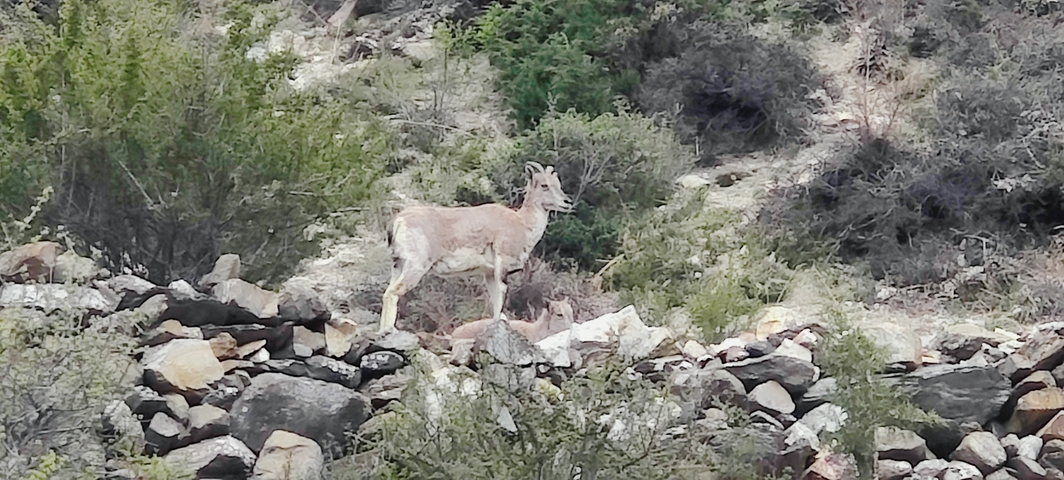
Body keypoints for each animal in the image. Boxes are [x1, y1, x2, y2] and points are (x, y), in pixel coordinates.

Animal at [379, 162, 572, 333]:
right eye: (544, 185)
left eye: (558, 184)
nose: (567, 202)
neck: (522, 224)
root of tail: (398, 221)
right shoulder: (501, 269)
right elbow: (500, 300)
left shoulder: (489, 274)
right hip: (415, 267)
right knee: (393, 293)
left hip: (398, 265)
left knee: (387, 292)